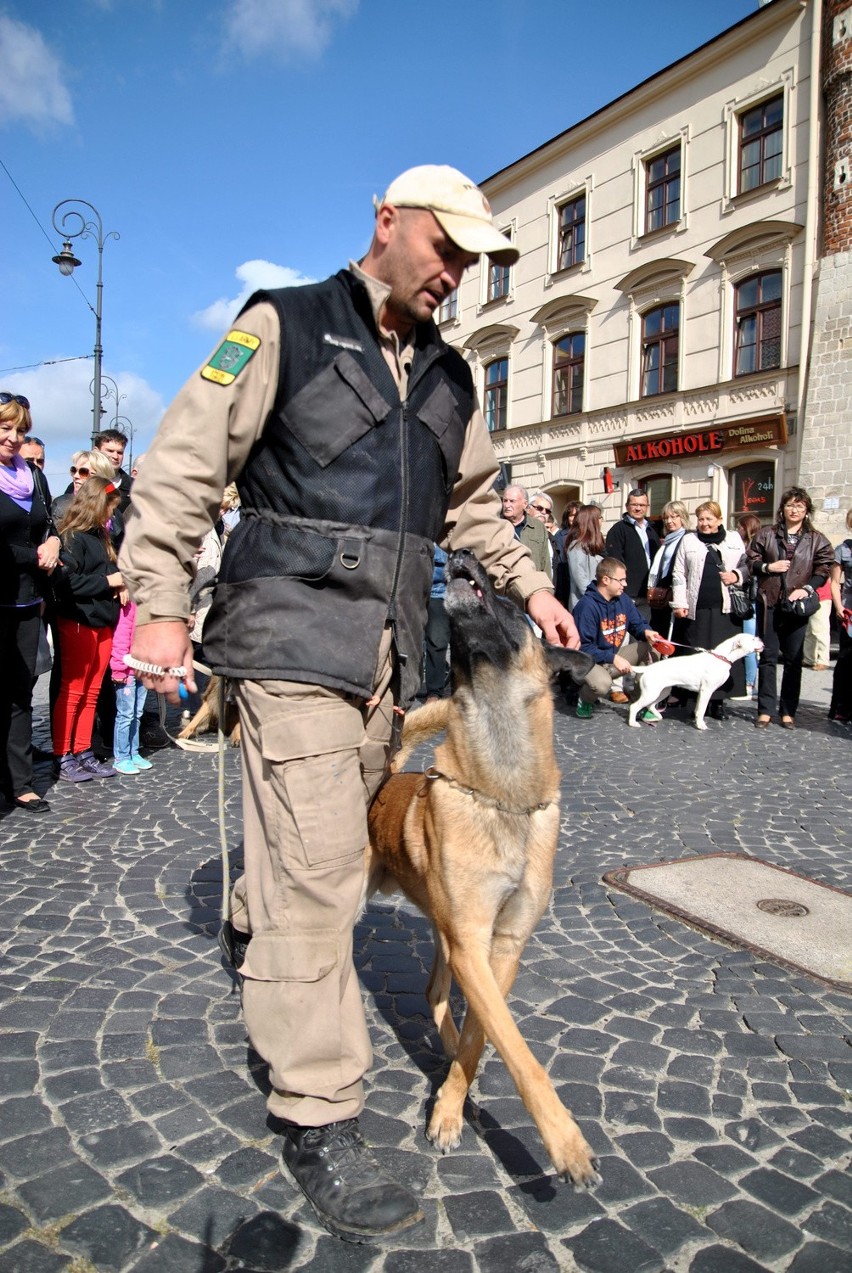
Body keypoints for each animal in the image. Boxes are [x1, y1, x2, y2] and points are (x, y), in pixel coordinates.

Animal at [366, 552, 598, 1186]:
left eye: (517, 608)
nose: (465, 555)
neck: (501, 791)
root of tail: (384, 780)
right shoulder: (471, 940)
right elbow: (519, 1051)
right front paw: (567, 1144)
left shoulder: (500, 944)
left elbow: (482, 1035)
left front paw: (451, 1100)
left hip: (446, 937)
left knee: (434, 992)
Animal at [624, 631, 764, 733]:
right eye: (752, 639)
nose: (762, 642)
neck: (722, 657)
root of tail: (647, 668)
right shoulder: (706, 691)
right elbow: (701, 710)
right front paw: (701, 725)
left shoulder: (702, 693)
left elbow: (698, 709)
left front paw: (697, 722)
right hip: (651, 693)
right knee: (634, 706)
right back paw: (633, 723)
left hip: (662, 692)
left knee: (651, 706)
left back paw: (657, 717)